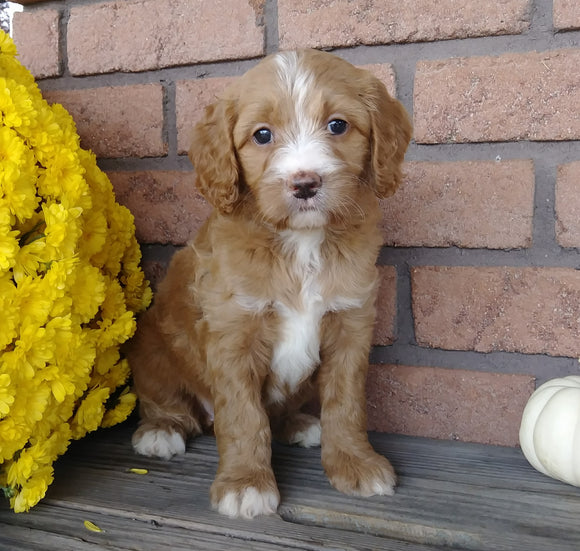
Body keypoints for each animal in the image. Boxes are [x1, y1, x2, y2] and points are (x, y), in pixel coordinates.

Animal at [130, 47, 412, 516]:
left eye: (338, 125)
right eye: (262, 135)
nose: (305, 184)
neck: (300, 242)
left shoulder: (351, 326)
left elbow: (347, 403)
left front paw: (355, 463)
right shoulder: (232, 333)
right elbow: (243, 416)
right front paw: (246, 483)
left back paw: (300, 424)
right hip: (153, 347)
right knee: (168, 400)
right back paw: (162, 430)